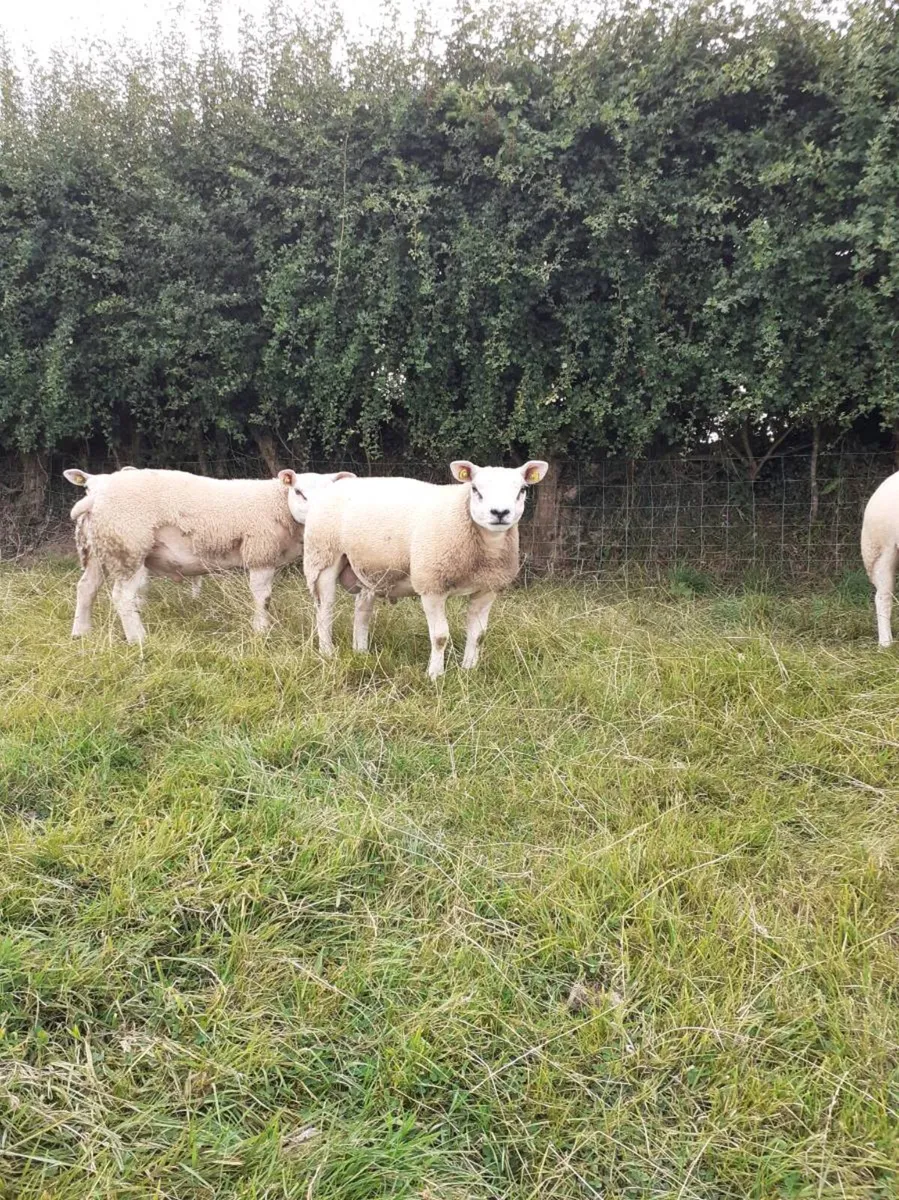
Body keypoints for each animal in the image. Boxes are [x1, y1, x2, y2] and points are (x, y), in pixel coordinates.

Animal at [63, 465, 355, 642]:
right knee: (122, 597)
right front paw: (261, 630)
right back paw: (139, 638)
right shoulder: (260, 551)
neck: (279, 505)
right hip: (128, 546)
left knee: (86, 588)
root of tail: (95, 496)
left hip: (101, 549)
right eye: (298, 492)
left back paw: (81, 633)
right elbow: (263, 597)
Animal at [302, 459, 549, 677]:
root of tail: (335, 484)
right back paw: (327, 652)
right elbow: (440, 636)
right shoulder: (432, 586)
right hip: (322, 556)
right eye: (475, 489)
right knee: (325, 610)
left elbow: (478, 635)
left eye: (522, 490)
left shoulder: (487, 589)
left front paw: (469, 671)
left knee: (362, 609)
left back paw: (361, 652)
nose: (499, 513)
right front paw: (435, 675)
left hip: (370, 568)